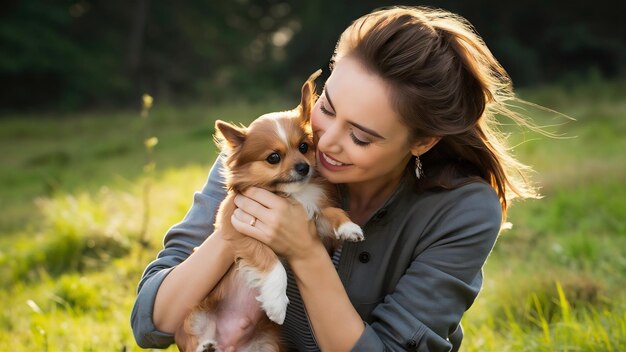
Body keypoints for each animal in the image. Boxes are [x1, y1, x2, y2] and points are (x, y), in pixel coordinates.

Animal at [180, 69, 364, 352]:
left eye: (304, 147)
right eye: (273, 158)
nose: (303, 167)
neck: (292, 194)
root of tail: (228, 343)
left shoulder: (313, 218)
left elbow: (331, 213)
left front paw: (348, 227)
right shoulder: (238, 228)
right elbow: (273, 264)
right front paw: (277, 304)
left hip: (266, 344)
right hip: (195, 318)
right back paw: (207, 346)